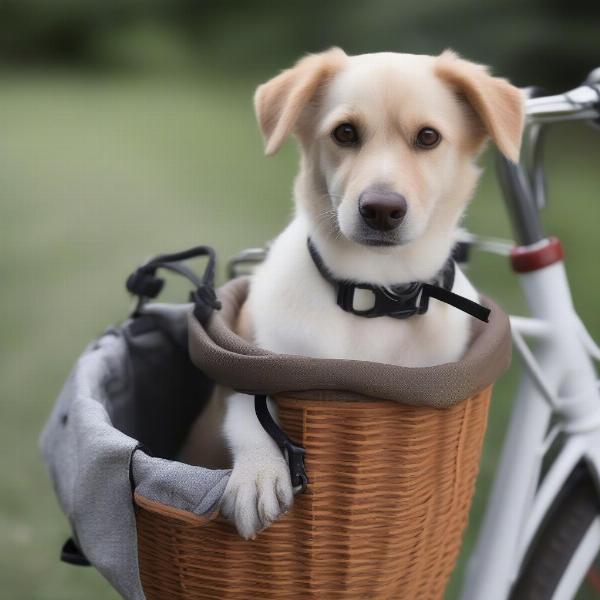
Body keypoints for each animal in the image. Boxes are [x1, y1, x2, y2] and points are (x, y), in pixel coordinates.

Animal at [190, 49, 524, 540]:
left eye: (428, 137)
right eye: (345, 132)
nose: (382, 210)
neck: (377, 295)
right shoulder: (250, 363)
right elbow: (249, 405)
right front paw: (258, 473)